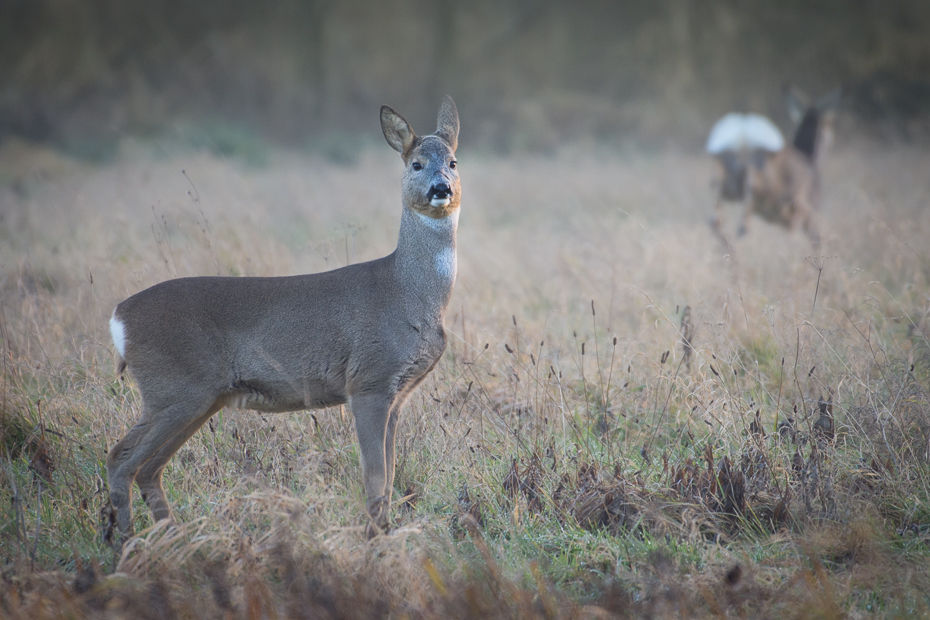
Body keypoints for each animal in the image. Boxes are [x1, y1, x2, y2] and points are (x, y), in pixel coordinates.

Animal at [708, 85, 836, 249]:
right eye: (829, 124)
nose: (832, 141)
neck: (810, 157)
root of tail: (743, 140)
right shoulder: (805, 208)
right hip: (763, 190)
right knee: (745, 225)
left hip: (719, 184)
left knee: (717, 221)